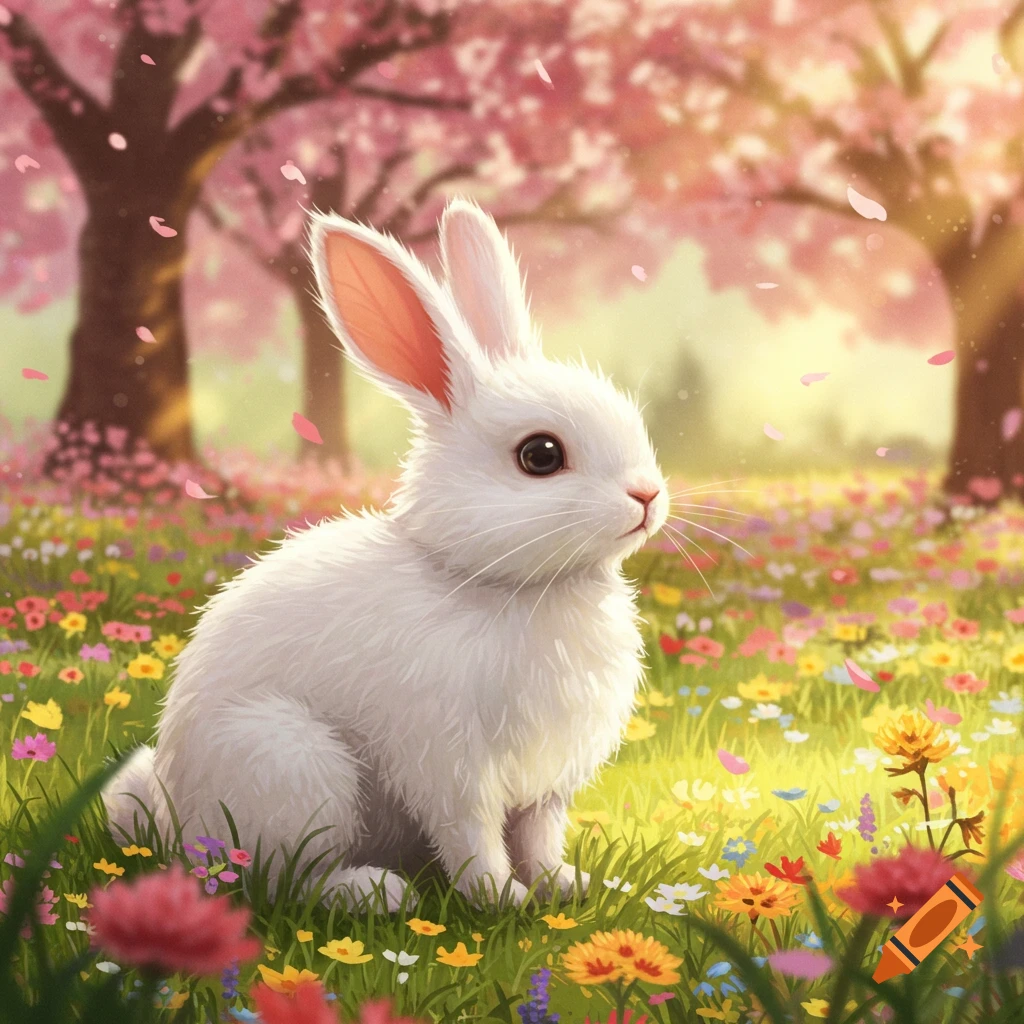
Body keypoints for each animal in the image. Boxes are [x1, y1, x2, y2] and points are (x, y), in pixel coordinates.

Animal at [102, 197, 668, 913]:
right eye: (541, 456)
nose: (648, 495)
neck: (504, 583)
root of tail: (180, 817)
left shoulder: (545, 786)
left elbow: (539, 836)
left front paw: (566, 887)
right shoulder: (448, 764)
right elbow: (472, 837)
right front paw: (500, 900)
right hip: (295, 767)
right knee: (278, 878)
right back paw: (377, 892)